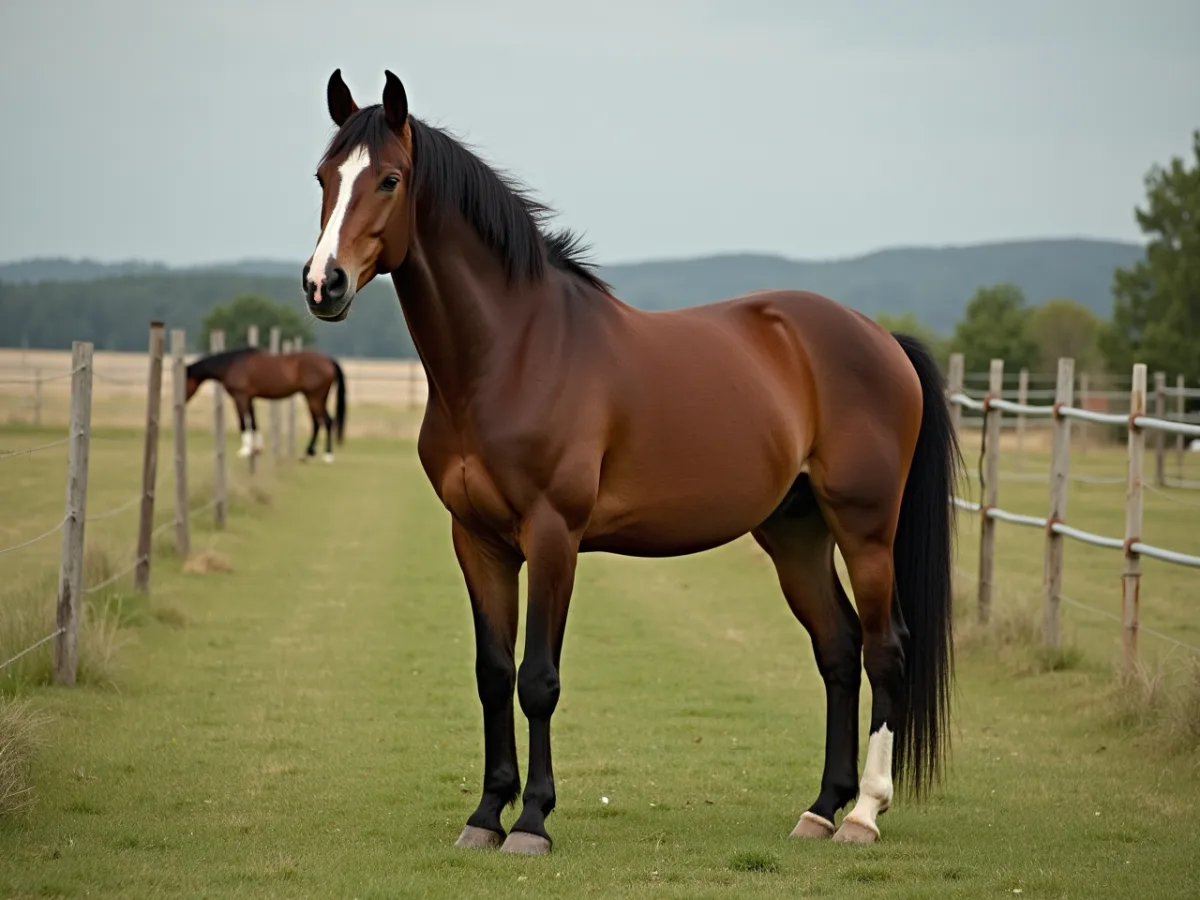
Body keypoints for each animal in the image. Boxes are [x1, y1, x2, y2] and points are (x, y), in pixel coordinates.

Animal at [184, 346, 347, 462]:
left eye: (183, 380)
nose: (183, 401)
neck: (231, 365)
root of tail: (328, 360)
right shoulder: (249, 399)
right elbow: (254, 423)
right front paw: (257, 449)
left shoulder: (240, 398)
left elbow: (243, 423)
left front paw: (245, 451)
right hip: (316, 398)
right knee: (317, 423)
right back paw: (308, 453)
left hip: (314, 398)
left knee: (327, 422)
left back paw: (327, 455)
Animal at [300, 69, 961, 855]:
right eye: (323, 177)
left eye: (391, 179)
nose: (324, 284)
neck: (516, 351)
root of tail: (882, 340)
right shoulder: (477, 540)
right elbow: (493, 674)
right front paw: (486, 816)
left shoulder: (553, 535)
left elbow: (538, 679)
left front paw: (532, 822)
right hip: (795, 530)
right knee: (838, 648)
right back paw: (820, 809)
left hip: (865, 529)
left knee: (885, 648)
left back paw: (863, 813)